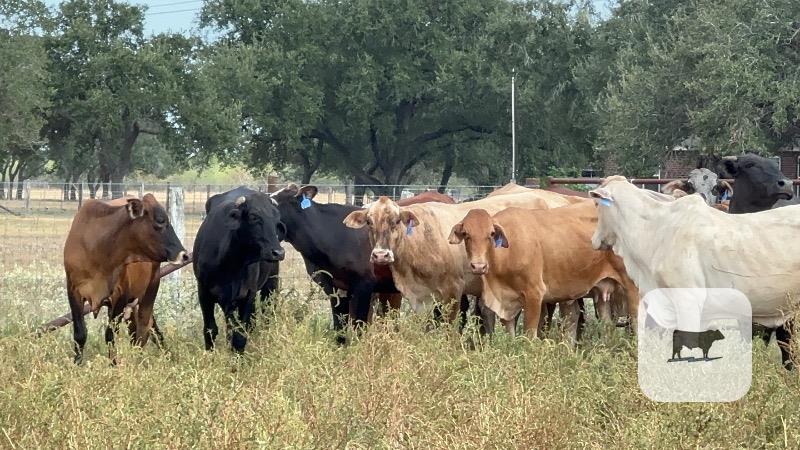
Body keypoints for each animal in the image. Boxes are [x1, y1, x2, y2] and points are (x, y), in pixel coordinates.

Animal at [63, 194, 188, 364]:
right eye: (160, 221)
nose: (184, 254)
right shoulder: (74, 291)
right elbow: (80, 334)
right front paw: (77, 363)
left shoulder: (120, 295)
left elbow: (110, 335)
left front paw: (113, 364)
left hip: (149, 292)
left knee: (143, 330)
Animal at [193, 187, 285, 352]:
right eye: (254, 217)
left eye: (276, 220)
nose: (278, 253)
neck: (230, 264)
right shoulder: (204, 291)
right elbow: (210, 329)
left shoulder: (247, 294)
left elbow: (240, 334)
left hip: (270, 284)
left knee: (266, 313)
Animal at [447, 203, 639, 343]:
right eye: (466, 234)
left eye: (491, 234)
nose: (478, 266)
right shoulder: (506, 302)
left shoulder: (534, 295)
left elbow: (530, 335)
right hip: (602, 294)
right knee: (607, 328)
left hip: (633, 289)